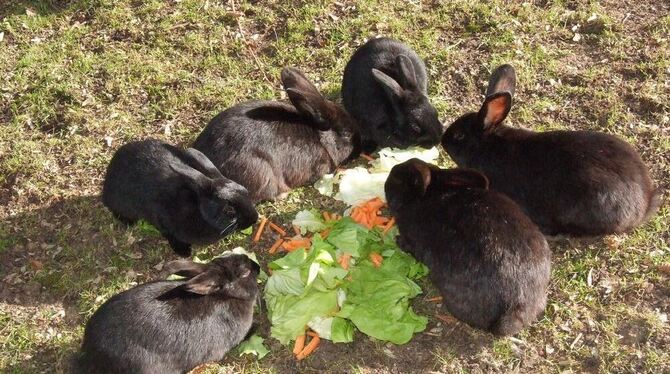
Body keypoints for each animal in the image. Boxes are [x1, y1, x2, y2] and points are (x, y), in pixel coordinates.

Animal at [103, 140, 260, 258]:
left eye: (245, 191)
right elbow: (170, 235)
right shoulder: (161, 220)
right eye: (229, 210)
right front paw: (184, 252)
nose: (254, 219)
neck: (199, 210)